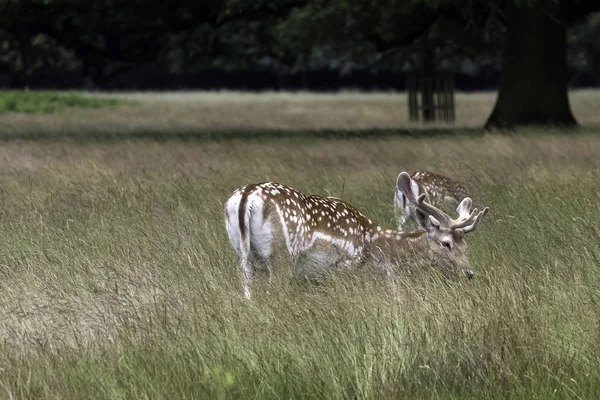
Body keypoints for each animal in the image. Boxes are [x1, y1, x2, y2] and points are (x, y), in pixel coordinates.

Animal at [225, 172, 488, 300]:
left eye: (466, 244)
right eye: (446, 243)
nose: (469, 273)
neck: (371, 244)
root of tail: (247, 196)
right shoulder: (344, 264)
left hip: (243, 254)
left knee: (246, 292)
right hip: (281, 256)